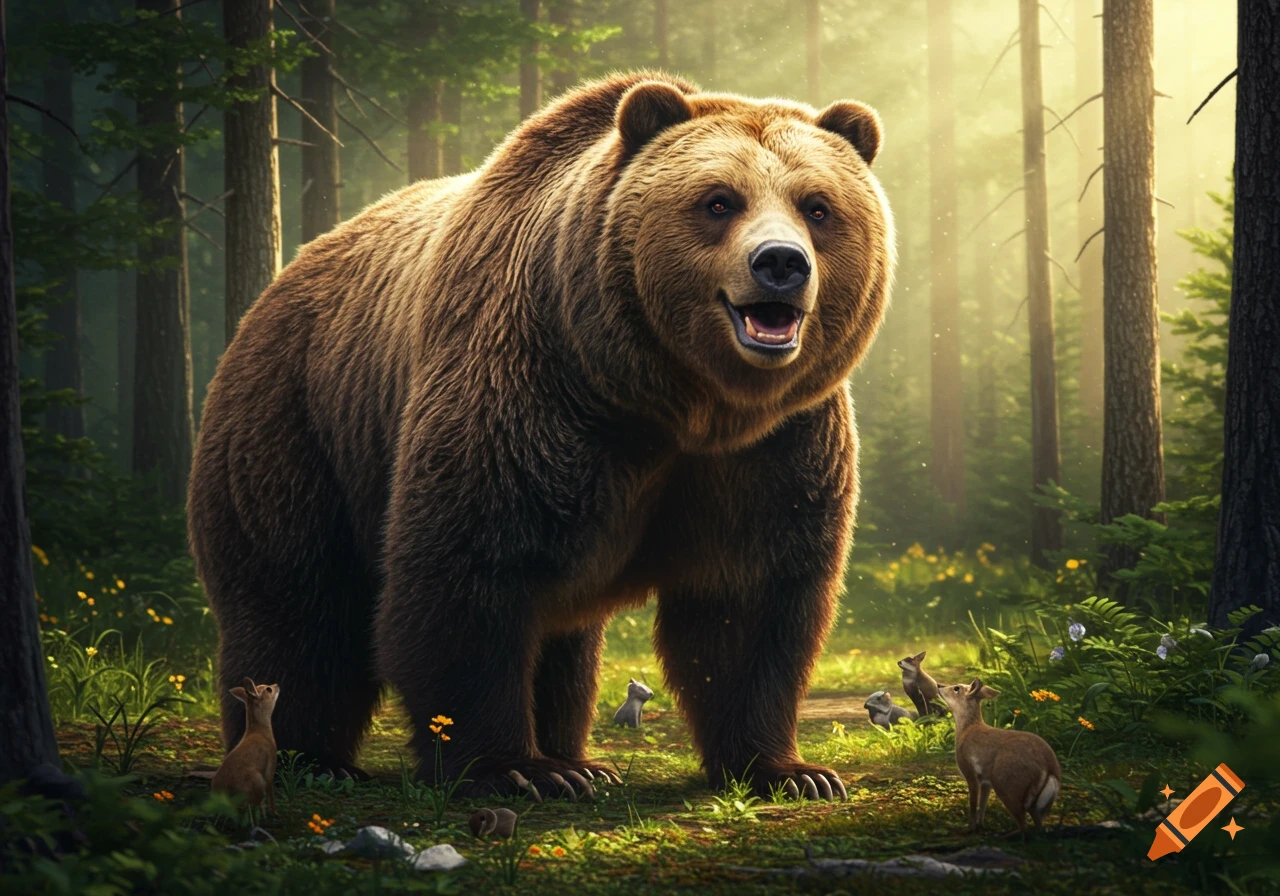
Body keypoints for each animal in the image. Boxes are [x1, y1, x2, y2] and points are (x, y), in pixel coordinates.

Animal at [187, 71, 893, 801]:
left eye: (818, 207)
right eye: (719, 200)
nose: (780, 262)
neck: (672, 401)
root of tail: (284, 276)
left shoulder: (773, 446)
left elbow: (749, 599)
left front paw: (793, 772)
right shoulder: (530, 397)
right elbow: (470, 575)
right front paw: (515, 768)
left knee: (564, 638)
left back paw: (578, 756)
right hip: (299, 423)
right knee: (299, 602)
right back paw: (311, 755)